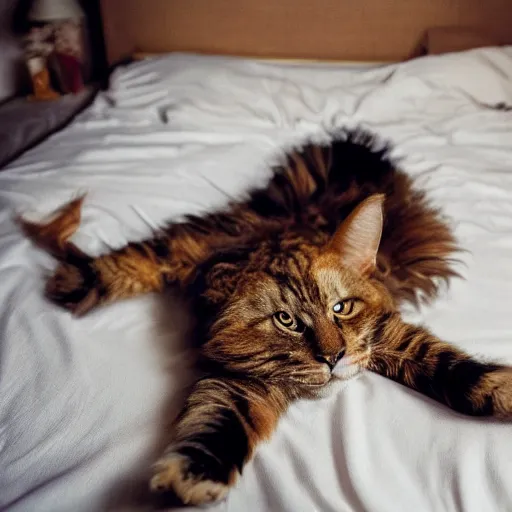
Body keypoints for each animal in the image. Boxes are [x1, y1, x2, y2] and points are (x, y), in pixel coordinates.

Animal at [19, 130, 512, 506]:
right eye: (287, 321)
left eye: (341, 308)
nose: (333, 357)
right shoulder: (242, 381)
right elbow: (217, 427)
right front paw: (192, 479)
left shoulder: (385, 333)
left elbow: (453, 367)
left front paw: (502, 390)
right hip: (198, 242)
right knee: (138, 258)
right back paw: (75, 282)